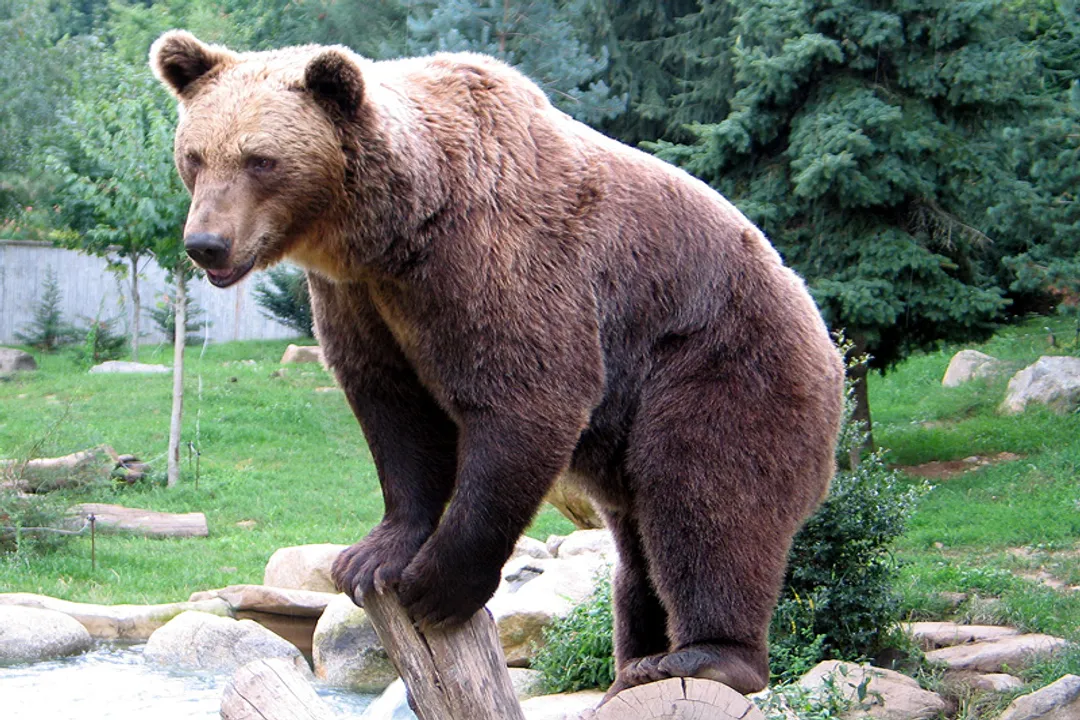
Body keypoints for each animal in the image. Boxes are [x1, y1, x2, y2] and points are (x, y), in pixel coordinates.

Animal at [151, 30, 845, 698]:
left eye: (260, 160)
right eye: (195, 157)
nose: (206, 243)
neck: (395, 230)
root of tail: (828, 343)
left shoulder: (496, 259)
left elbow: (528, 395)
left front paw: (437, 584)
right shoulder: (362, 300)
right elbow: (394, 412)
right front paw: (370, 557)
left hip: (720, 363)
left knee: (704, 495)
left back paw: (708, 656)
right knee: (638, 544)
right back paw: (637, 662)